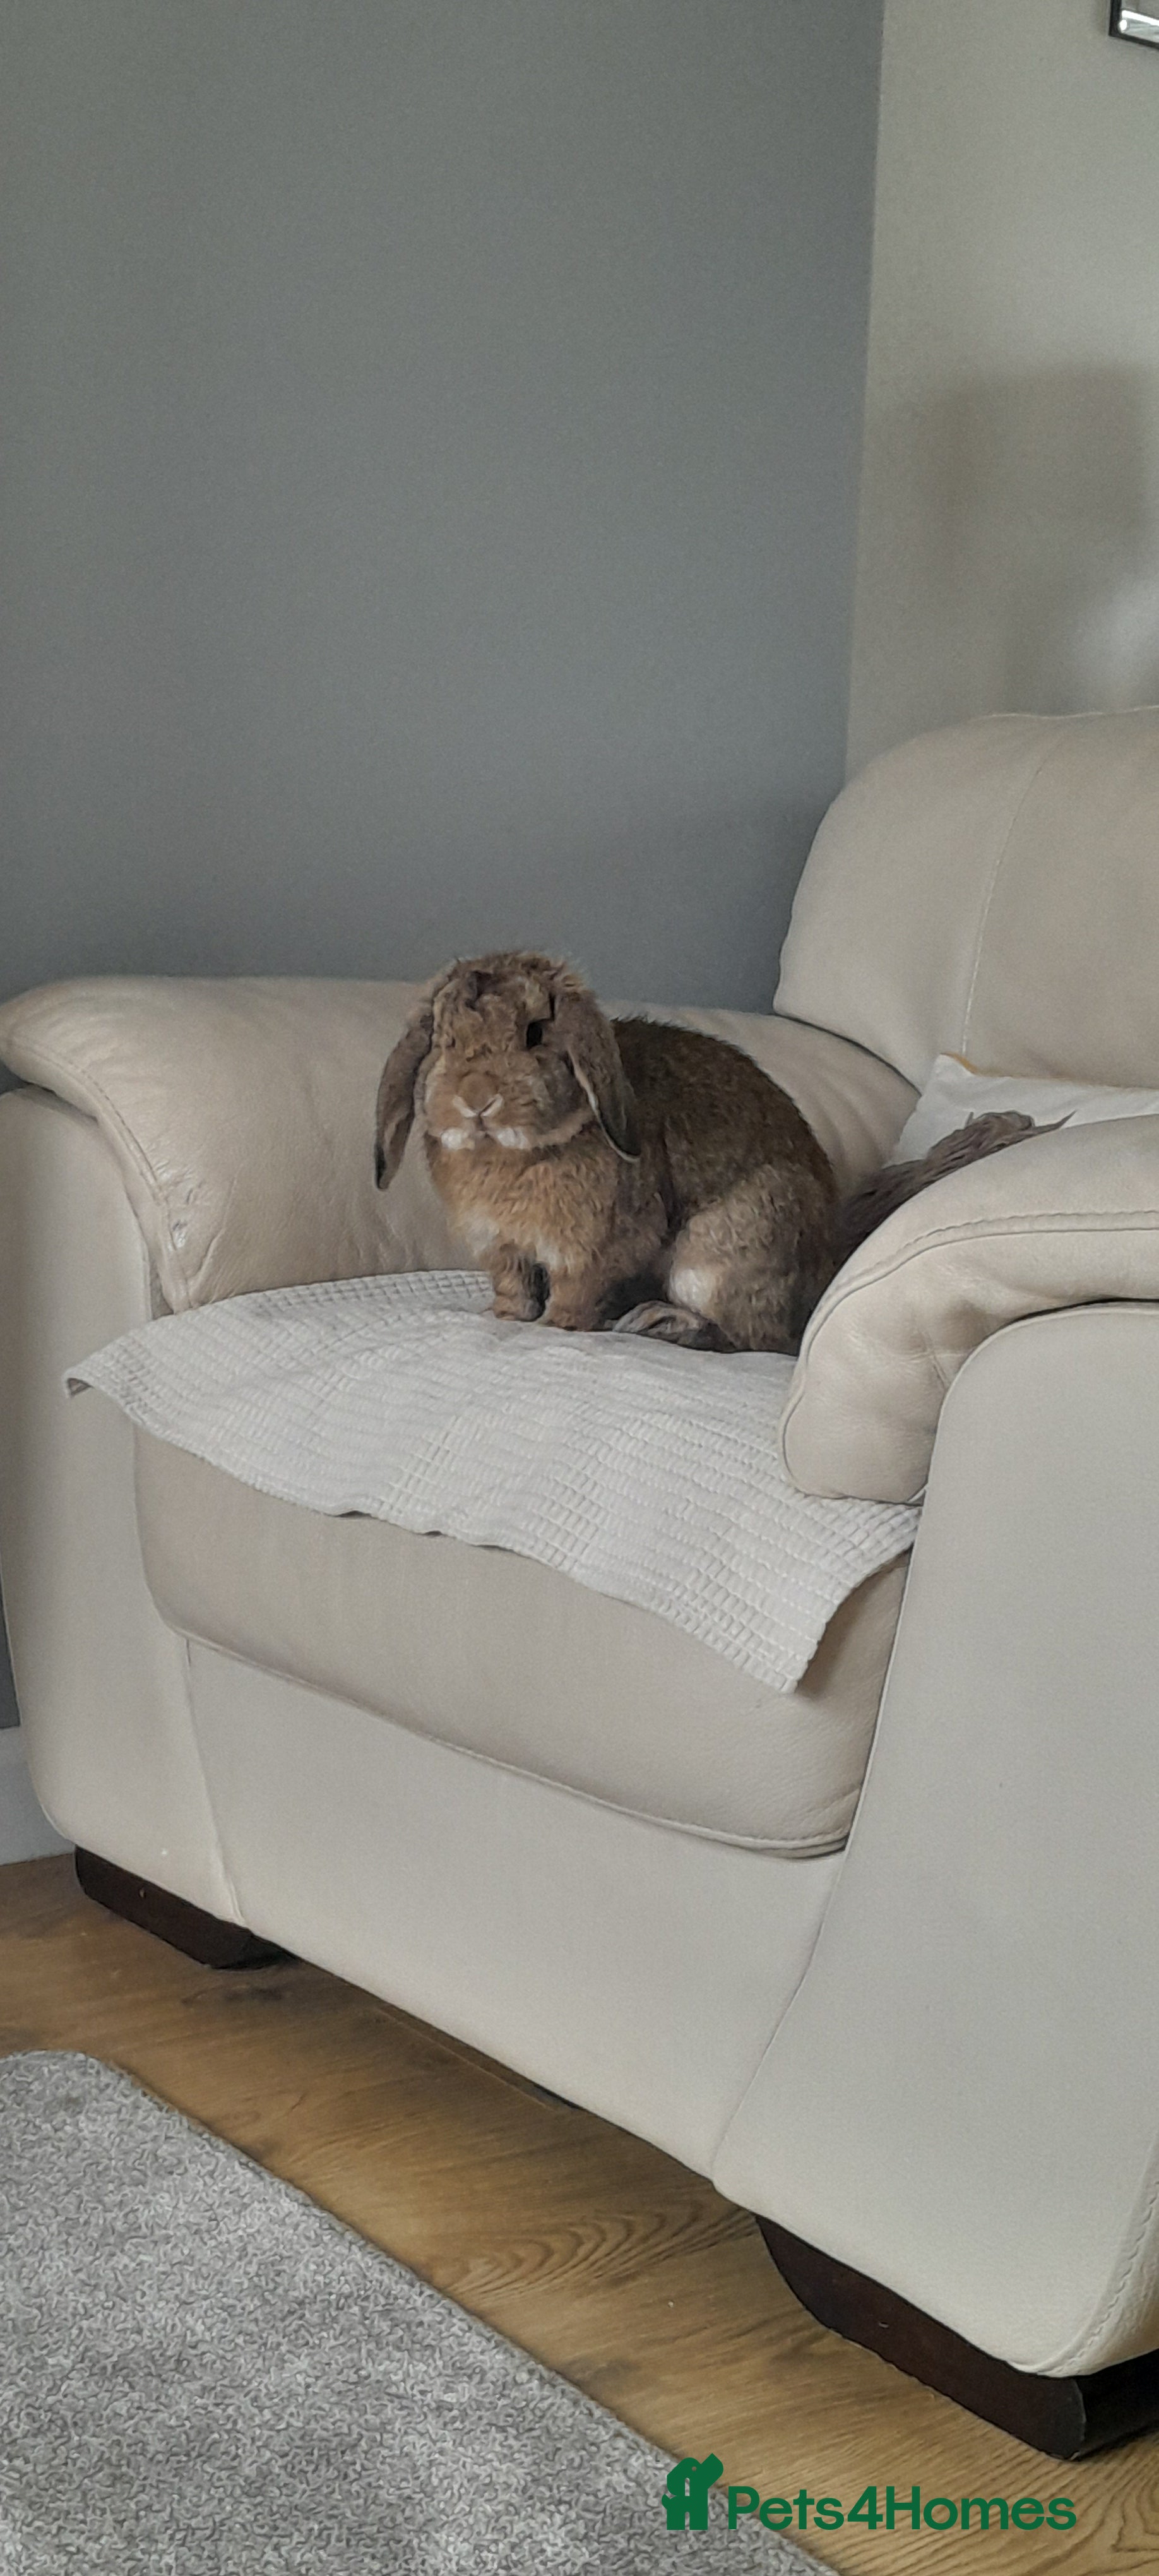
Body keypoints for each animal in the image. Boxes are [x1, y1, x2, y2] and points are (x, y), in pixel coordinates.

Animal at [374, 951, 838, 1353]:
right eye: (441, 1039)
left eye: (535, 1033)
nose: (476, 1097)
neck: (511, 1154)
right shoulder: (501, 1247)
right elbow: (514, 1286)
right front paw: (505, 1316)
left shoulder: (591, 1251)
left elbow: (575, 1292)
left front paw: (558, 1325)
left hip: (715, 1261)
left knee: (748, 1338)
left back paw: (657, 1322)